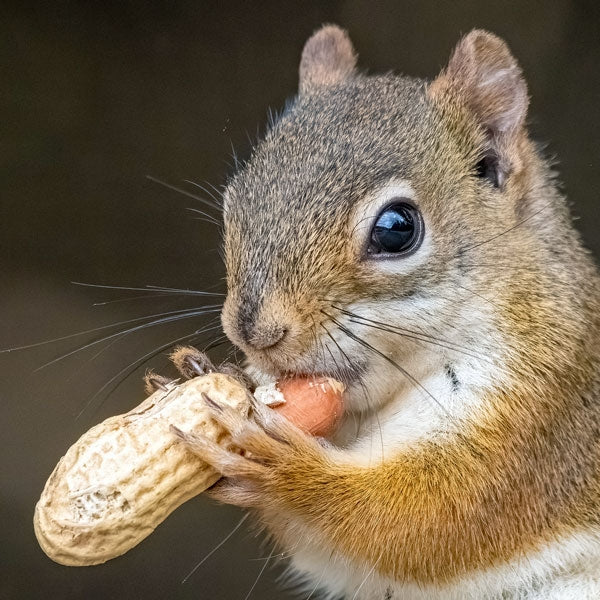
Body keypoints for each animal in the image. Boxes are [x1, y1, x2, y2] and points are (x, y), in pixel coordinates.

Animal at [148, 24, 600, 600]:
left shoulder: (538, 419)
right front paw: (204, 372)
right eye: (234, 203)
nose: (254, 333)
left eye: (396, 228)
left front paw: (286, 470)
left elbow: (425, 518)